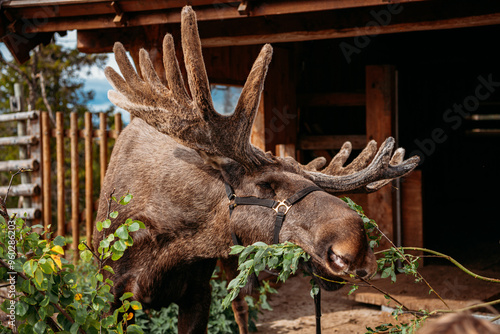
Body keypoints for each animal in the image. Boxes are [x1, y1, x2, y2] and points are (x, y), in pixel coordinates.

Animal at [95, 5, 420, 334]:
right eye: (265, 185)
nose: (357, 246)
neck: (170, 241)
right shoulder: (111, 295)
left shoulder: (199, 293)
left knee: (240, 311)